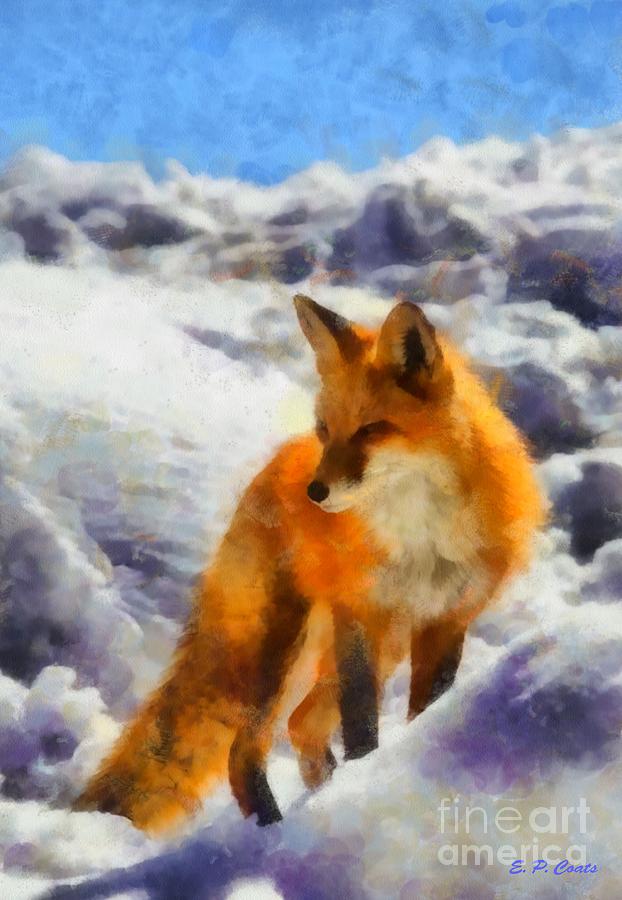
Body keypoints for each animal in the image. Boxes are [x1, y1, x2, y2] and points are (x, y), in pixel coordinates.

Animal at [74, 294, 545, 832]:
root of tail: (265, 475)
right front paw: (361, 784)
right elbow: (361, 725)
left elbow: (427, 708)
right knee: (243, 753)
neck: (420, 534)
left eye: (370, 430)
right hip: (281, 651)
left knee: (301, 726)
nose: (315, 493)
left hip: (377, 645)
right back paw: (272, 829)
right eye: (326, 429)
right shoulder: (359, 614)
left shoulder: (446, 618)